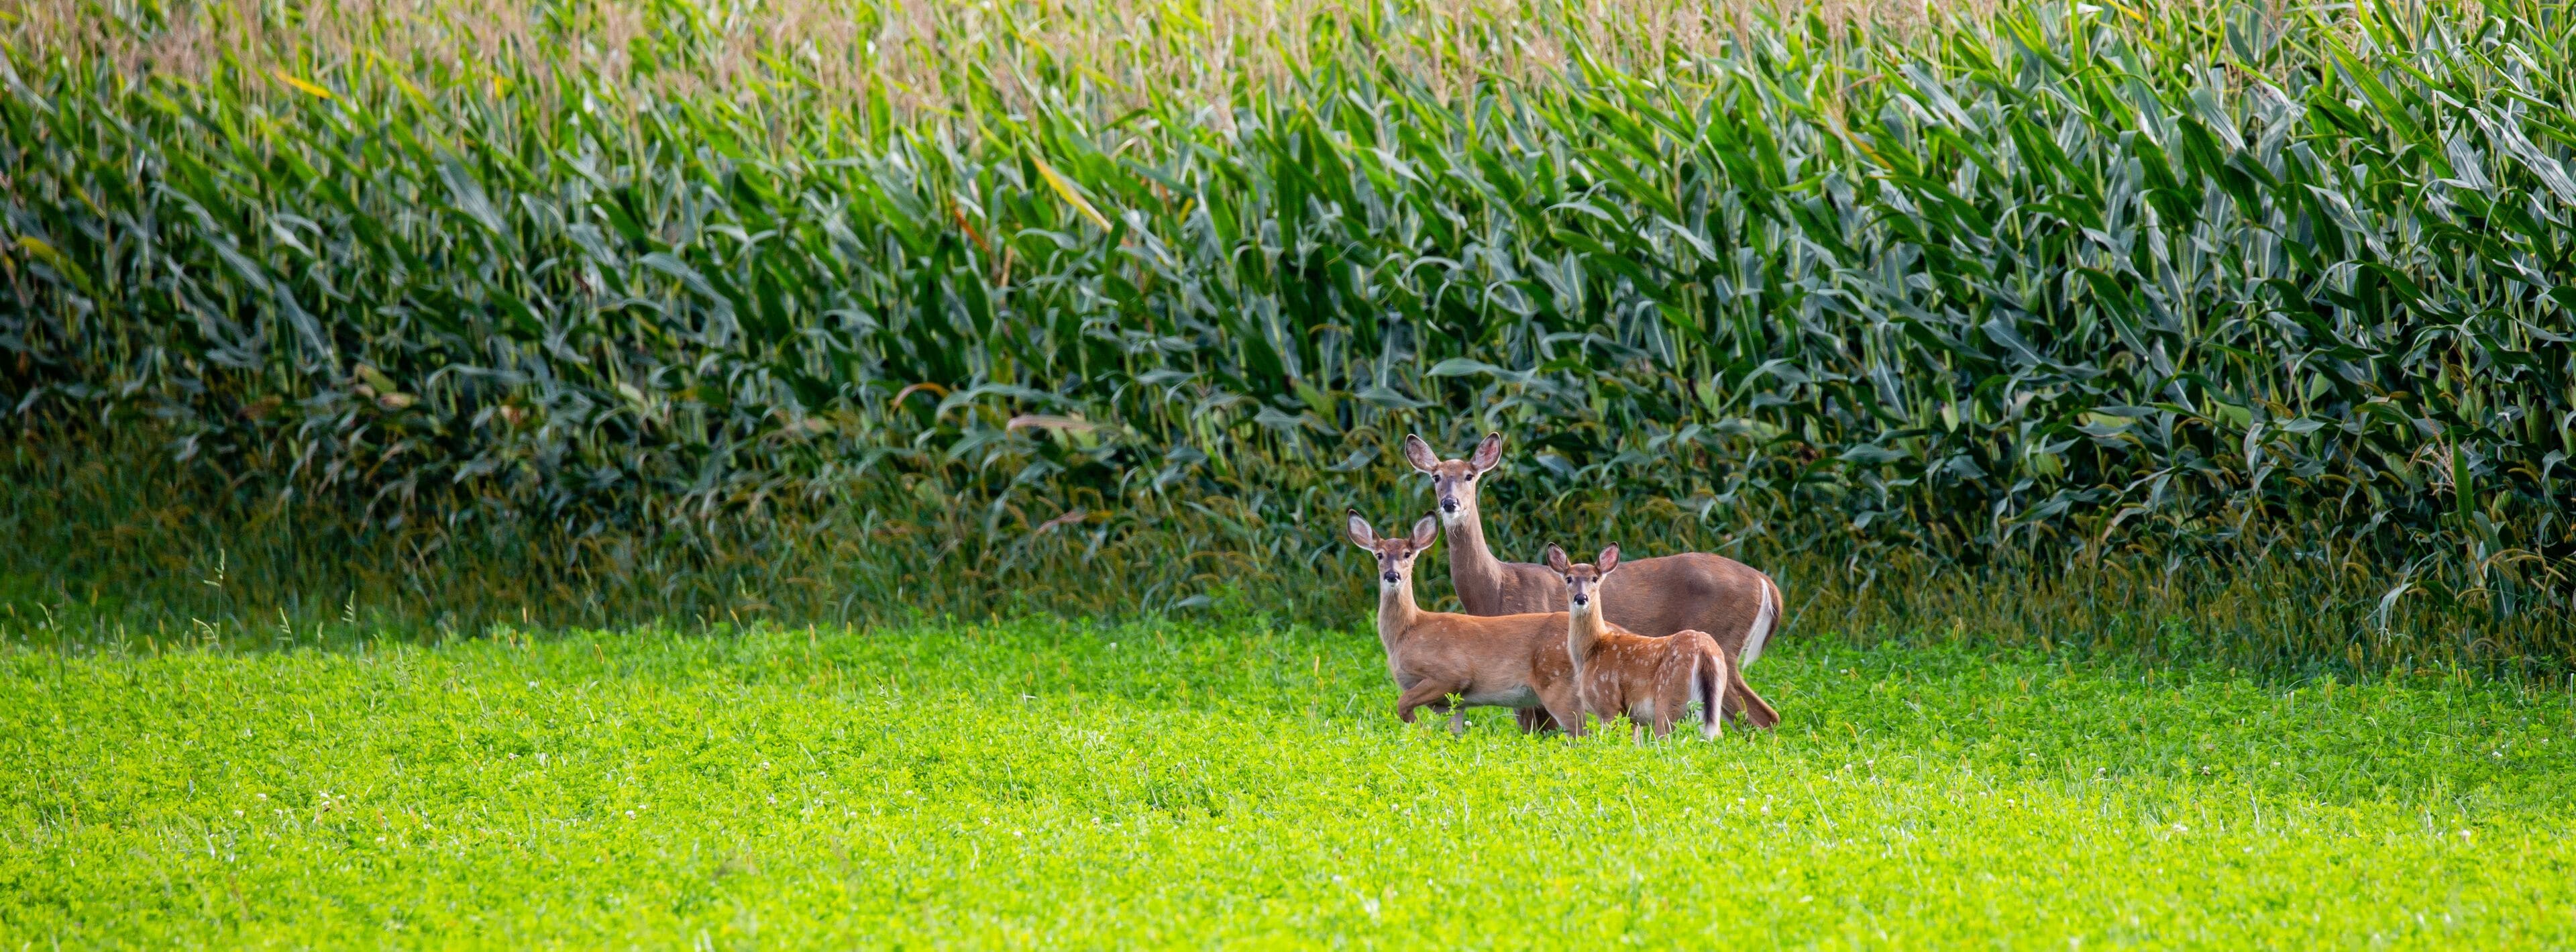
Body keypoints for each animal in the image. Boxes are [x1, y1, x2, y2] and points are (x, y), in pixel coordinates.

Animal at [1343, 510, 1589, 737]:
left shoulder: (1451, 673)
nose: (1392, 575)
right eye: (1379, 555)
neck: (1407, 631)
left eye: (1407, 554)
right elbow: (1453, 732)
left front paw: (1423, 731)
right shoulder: (1454, 705)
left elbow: (1403, 704)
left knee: (1581, 731)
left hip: (1557, 682)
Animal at [1548, 544, 1730, 742]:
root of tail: (1704, 650)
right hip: (1714, 699)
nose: (1581, 598)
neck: (1591, 651)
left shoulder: (1608, 703)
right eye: (1569, 579)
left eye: (1594, 579)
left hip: (1668, 695)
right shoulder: (1632, 717)